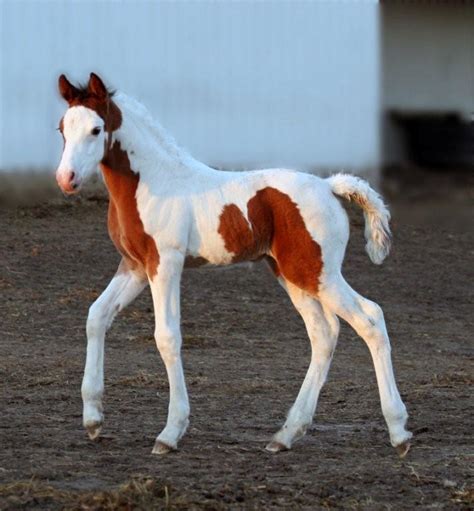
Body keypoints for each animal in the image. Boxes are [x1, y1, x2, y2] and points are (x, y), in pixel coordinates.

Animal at [54, 72, 412, 456]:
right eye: (62, 128)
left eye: (95, 129)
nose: (66, 179)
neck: (153, 181)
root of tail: (329, 186)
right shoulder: (135, 266)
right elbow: (96, 316)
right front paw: (93, 420)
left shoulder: (165, 262)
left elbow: (167, 337)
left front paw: (170, 432)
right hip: (292, 275)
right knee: (324, 333)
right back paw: (285, 434)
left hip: (319, 273)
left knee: (370, 319)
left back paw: (399, 432)